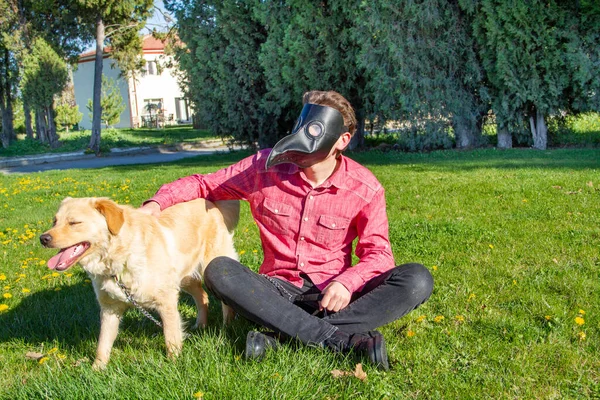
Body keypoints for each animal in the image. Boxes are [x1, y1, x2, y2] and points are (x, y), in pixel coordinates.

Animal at [38, 197, 240, 368]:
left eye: (74, 223)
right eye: (54, 221)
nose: (43, 238)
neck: (118, 261)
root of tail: (211, 202)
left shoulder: (166, 301)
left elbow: (171, 336)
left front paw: (173, 364)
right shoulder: (110, 309)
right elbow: (103, 344)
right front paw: (97, 370)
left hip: (212, 265)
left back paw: (227, 324)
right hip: (185, 277)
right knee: (202, 296)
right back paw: (201, 325)